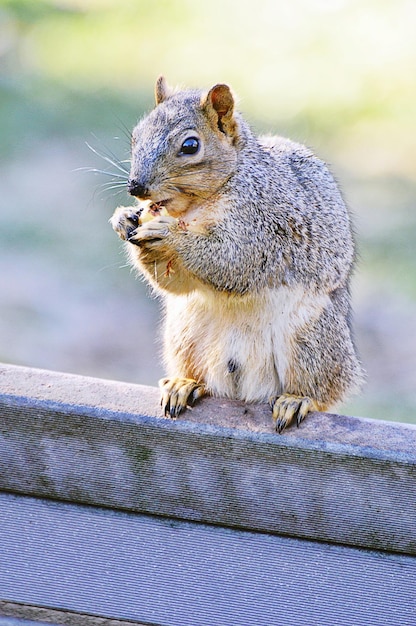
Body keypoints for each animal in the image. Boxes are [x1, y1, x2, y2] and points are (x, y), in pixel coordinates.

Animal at [109, 75, 364, 432]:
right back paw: (184, 384)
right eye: (136, 135)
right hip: (185, 332)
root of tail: (248, 391)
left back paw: (297, 399)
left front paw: (168, 235)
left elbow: (234, 261)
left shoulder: (264, 226)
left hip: (310, 338)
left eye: (190, 146)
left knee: (322, 389)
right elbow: (174, 281)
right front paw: (124, 219)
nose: (136, 187)